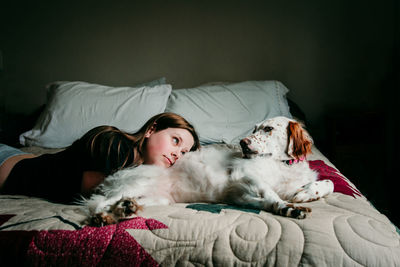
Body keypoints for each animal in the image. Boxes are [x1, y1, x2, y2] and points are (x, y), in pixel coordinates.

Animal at [83, 116, 334, 226]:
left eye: (269, 129)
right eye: (254, 129)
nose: (243, 143)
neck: (282, 164)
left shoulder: (244, 195)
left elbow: (328, 183)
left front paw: (304, 195)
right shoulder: (245, 175)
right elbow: (270, 194)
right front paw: (287, 207)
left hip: (159, 199)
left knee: (121, 203)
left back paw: (124, 210)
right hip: (139, 182)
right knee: (100, 204)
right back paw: (104, 216)